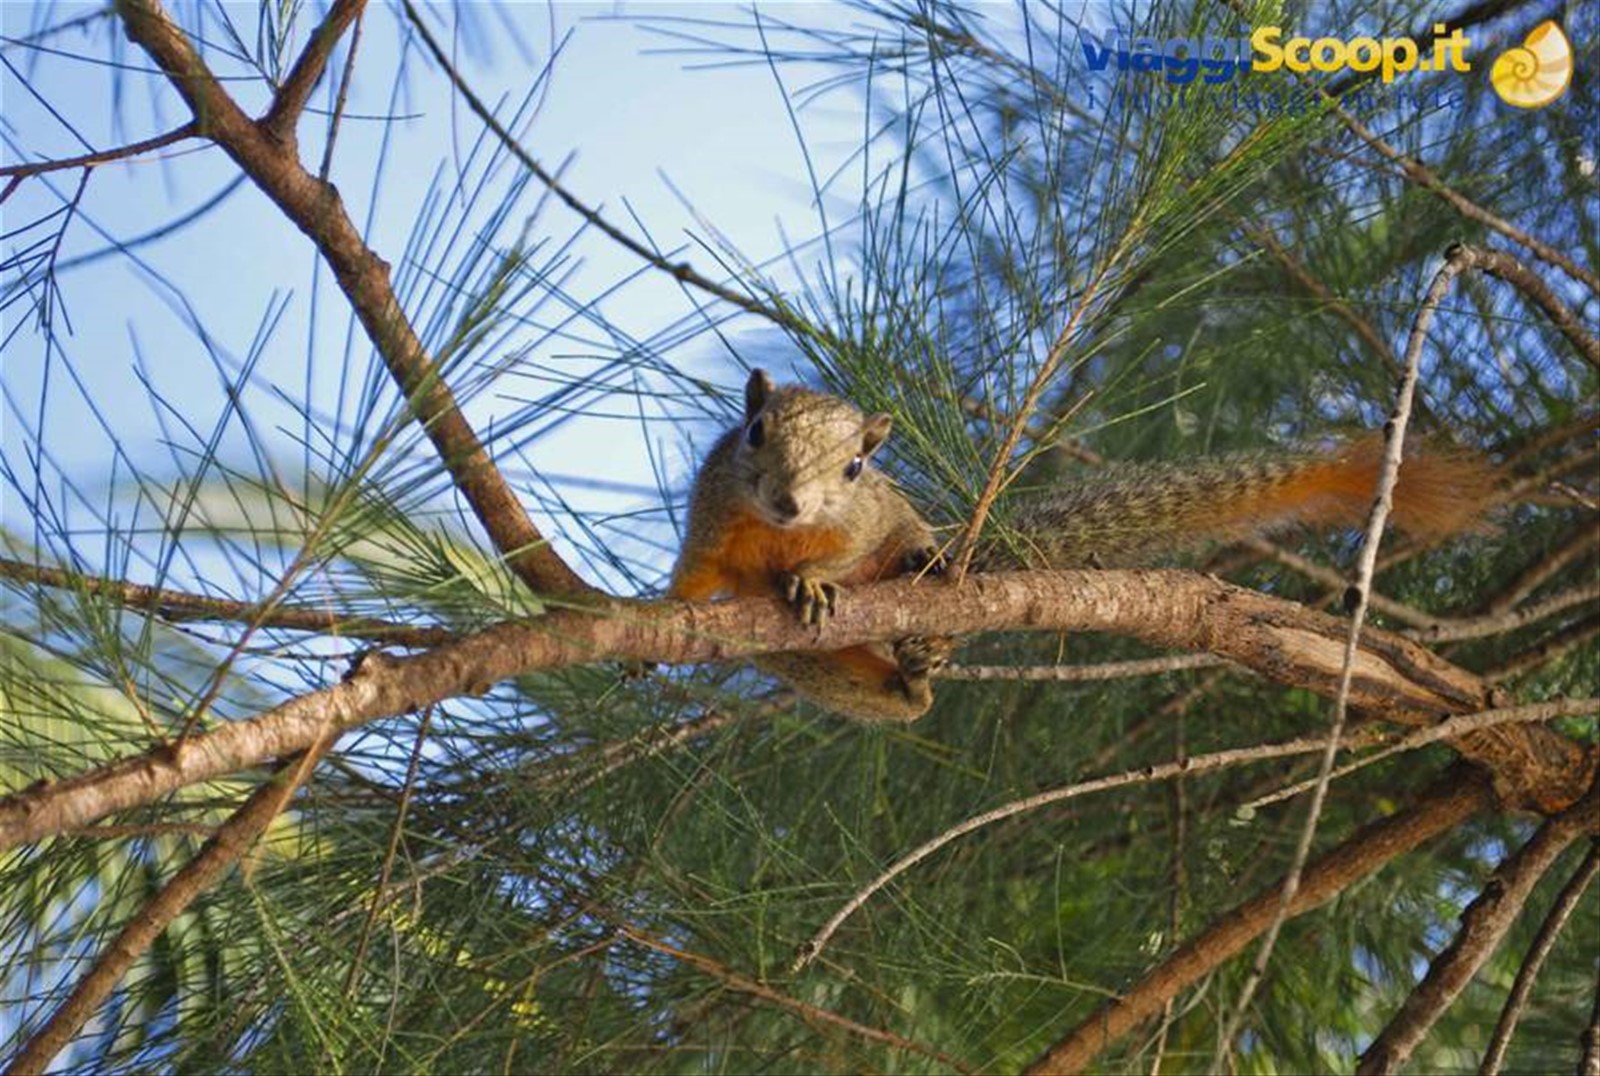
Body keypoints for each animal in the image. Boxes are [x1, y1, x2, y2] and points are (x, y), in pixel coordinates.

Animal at [668, 369, 1495, 722]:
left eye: (853, 468)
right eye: (754, 432)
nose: (788, 500)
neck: (780, 532)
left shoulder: (865, 518)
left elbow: (849, 550)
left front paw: (815, 577)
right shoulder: (712, 514)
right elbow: (691, 578)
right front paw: (662, 613)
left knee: (913, 574)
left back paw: (924, 610)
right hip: (803, 659)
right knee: (876, 693)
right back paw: (907, 688)